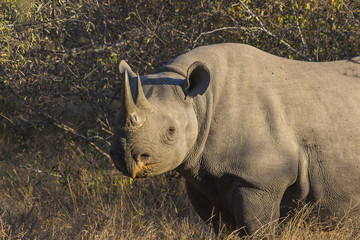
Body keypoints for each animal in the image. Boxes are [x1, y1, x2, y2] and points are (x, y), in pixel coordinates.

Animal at [111, 42, 360, 234]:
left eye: (171, 132)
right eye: (115, 121)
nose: (126, 158)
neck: (201, 102)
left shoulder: (259, 180)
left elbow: (257, 229)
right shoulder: (201, 176)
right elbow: (221, 228)